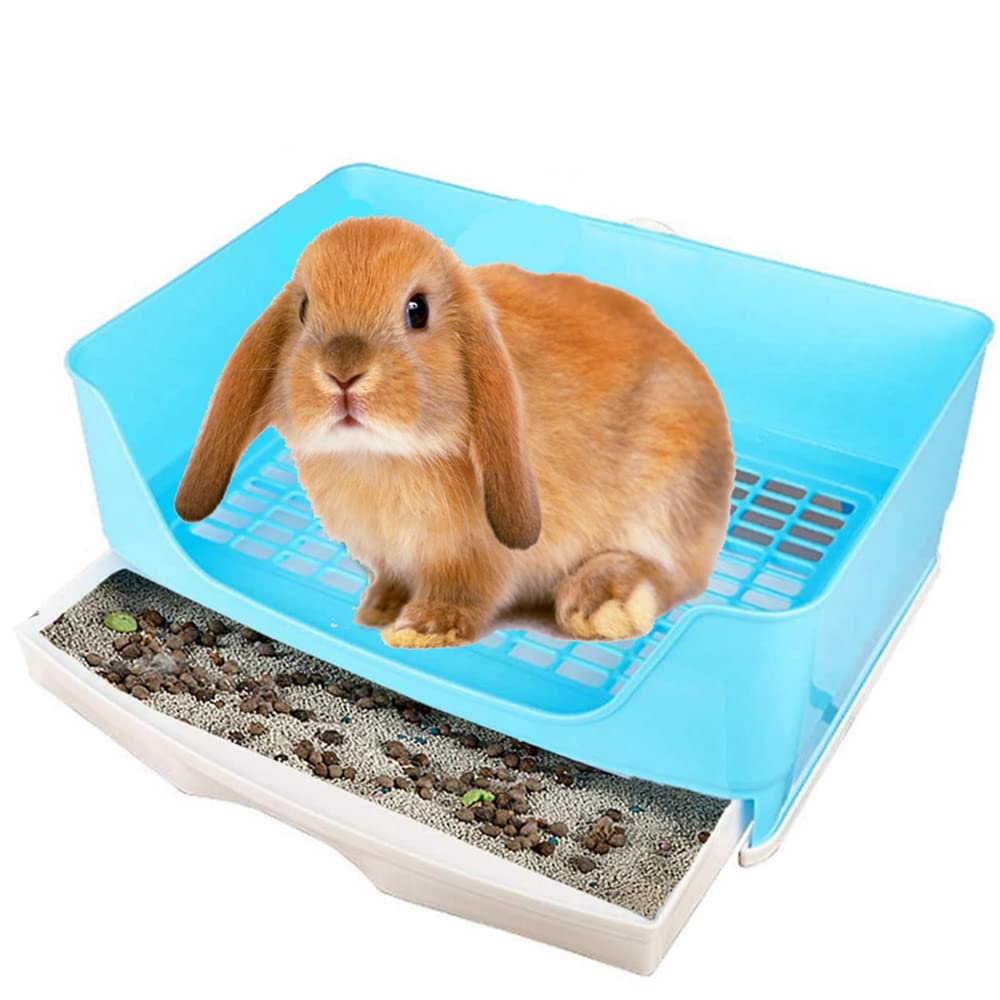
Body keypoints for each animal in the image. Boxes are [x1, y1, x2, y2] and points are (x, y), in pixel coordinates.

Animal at [175, 217, 734, 648]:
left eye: (417, 310)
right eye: (304, 308)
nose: (342, 372)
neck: (380, 457)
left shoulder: (475, 560)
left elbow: (464, 595)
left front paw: (419, 630)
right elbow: (392, 579)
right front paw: (378, 608)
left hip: (666, 501)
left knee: (668, 574)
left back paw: (599, 605)